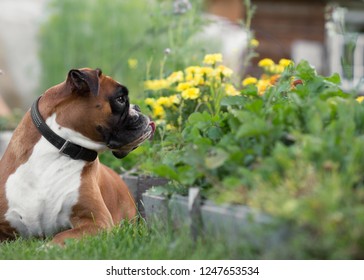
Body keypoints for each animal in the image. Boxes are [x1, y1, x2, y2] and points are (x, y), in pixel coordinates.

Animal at [0, 68, 155, 245]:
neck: (55, 154)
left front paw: (46, 247)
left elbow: (61, 236)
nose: (139, 107)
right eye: (120, 99)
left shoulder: (97, 221)